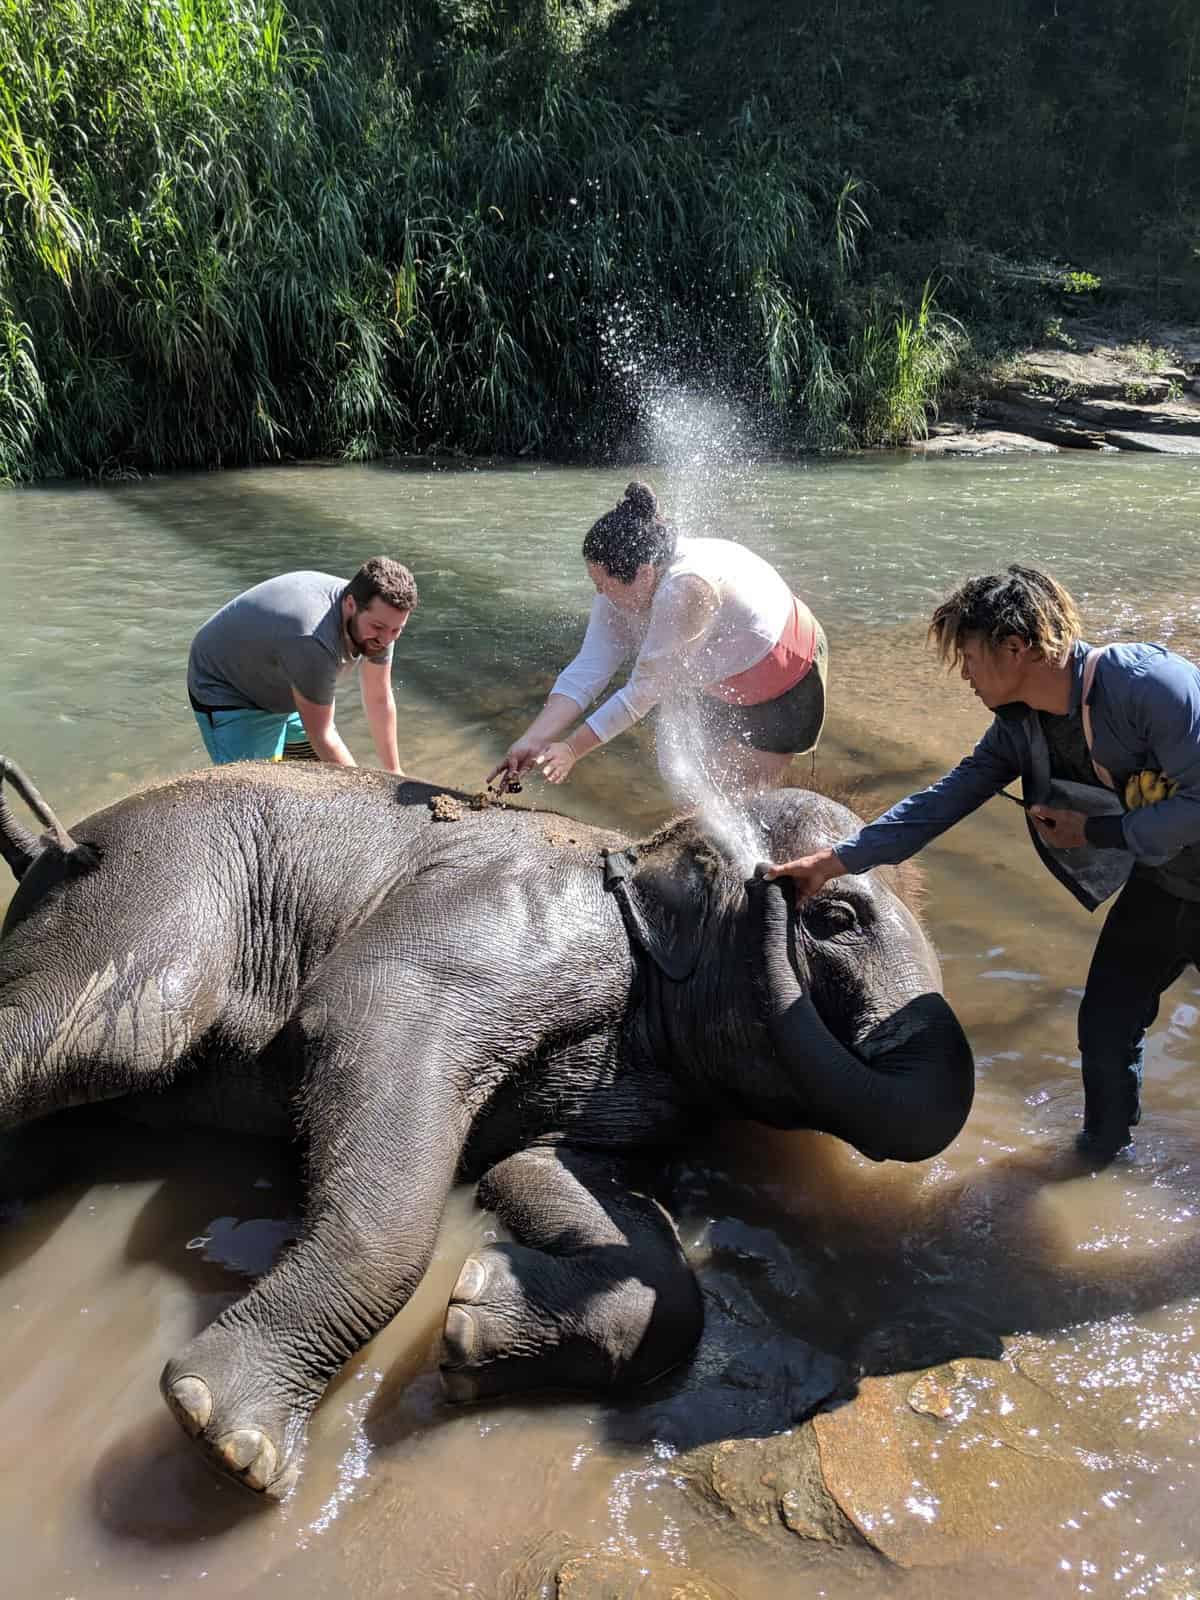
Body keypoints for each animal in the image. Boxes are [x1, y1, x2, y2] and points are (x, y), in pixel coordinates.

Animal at [0, 756, 974, 1499]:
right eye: (835, 918)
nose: (779, 881)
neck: (646, 849)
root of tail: (50, 845)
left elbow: (556, 1181)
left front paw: (472, 1319)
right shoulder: (507, 926)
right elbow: (372, 1015)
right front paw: (227, 1438)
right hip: (152, 892)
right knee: (119, 1034)